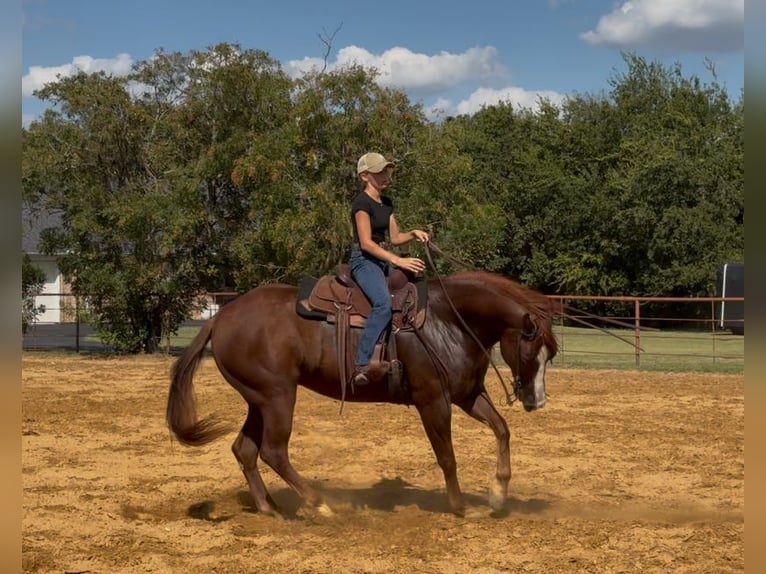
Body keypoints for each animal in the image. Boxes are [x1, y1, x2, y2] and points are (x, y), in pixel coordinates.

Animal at [166, 270, 559, 517]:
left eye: (551, 355)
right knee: (273, 451)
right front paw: (461, 507)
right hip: (278, 397)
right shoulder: (433, 401)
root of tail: (220, 317)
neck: (447, 320)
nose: (536, 401)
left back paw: (269, 507)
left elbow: (502, 429)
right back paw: (321, 505)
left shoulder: (467, 395)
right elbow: (447, 456)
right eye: (530, 353)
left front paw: (498, 494)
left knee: (244, 450)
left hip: (258, 400)